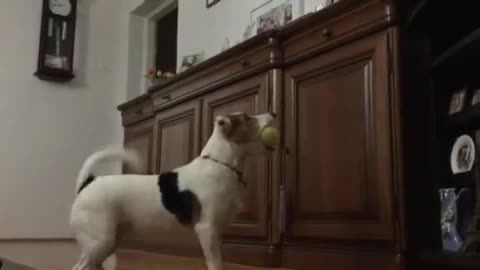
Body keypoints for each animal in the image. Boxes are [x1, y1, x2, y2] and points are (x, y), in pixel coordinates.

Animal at [69, 112, 276, 270]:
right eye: (247, 117)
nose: (273, 113)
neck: (220, 164)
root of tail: (88, 182)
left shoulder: (218, 234)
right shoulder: (206, 229)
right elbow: (215, 264)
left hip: (110, 241)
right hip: (99, 241)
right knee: (79, 267)